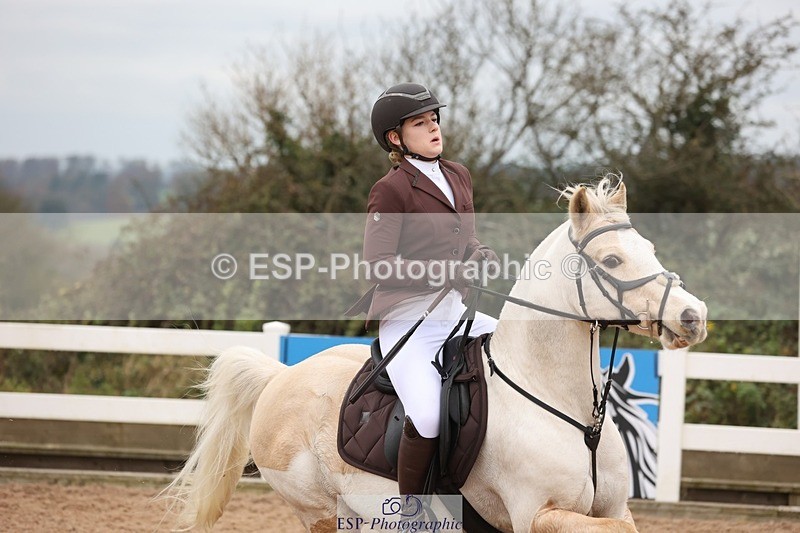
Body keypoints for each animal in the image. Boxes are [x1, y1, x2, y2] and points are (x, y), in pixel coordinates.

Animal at [162, 178, 707, 532]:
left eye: (650, 249)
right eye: (612, 259)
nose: (692, 316)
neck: (563, 406)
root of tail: (282, 375)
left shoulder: (612, 509)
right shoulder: (539, 515)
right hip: (318, 511)